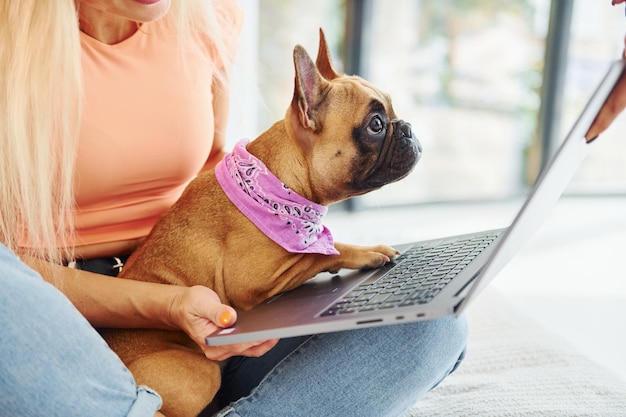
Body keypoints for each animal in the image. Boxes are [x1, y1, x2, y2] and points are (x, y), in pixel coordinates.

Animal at [102, 30, 422, 416]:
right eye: (376, 125)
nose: (407, 128)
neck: (278, 183)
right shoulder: (254, 282)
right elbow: (319, 254)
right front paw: (365, 252)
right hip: (198, 371)